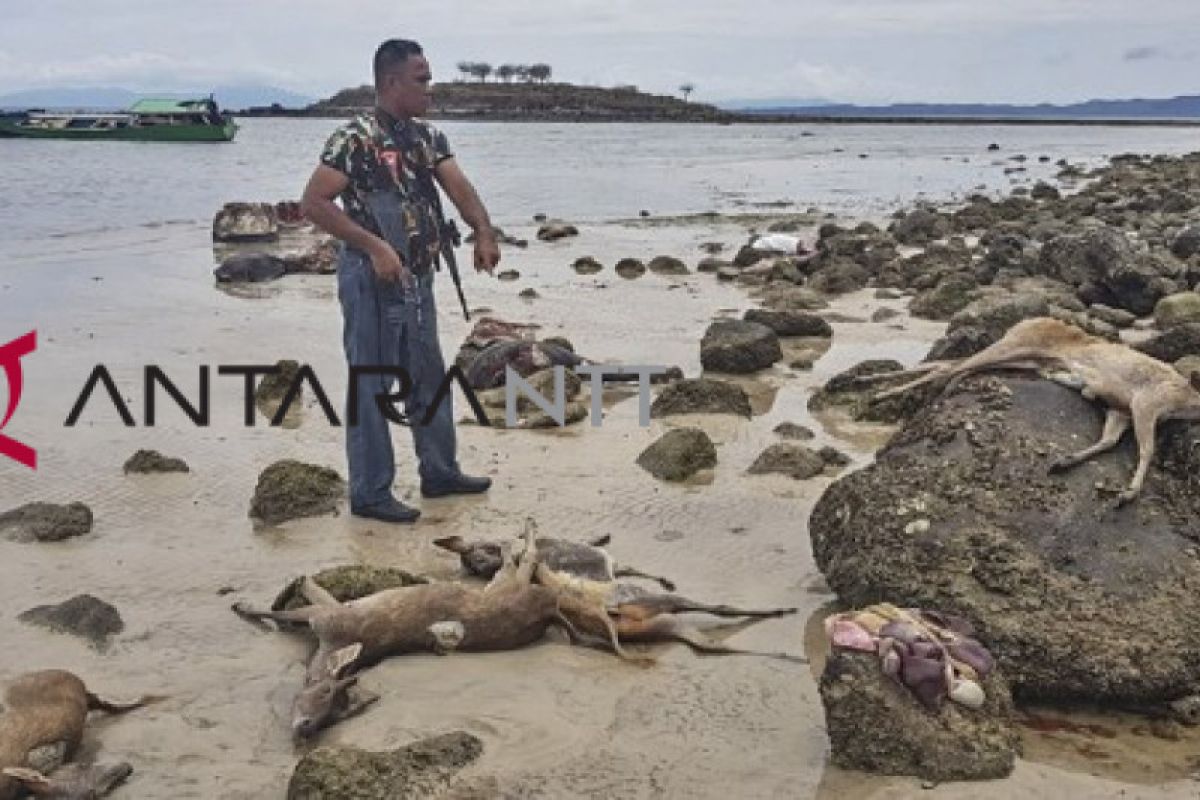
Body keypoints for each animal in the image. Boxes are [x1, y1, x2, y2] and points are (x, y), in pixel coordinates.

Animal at [232, 525, 576, 738]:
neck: (326, 647)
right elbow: (289, 603)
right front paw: (251, 602)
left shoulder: (328, 616)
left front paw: (244, 603)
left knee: (524, 561)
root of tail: (548, 610)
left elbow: (289, 605)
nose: (305, 727)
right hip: (504, 589)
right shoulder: (327, 615)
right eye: (327, 693)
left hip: (505, 588)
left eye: (335, 713)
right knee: (521, 563)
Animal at [436, 522, 801, 662]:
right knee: (722, 608)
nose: (484, 567)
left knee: (712, 646)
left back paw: (788, 654)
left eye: (477, 558)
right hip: (665, 606)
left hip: (668, 625)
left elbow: (630, 563)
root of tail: (609, 615)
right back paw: (779, 613)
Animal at [868, 316, 1200, 503]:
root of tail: (1029, 319)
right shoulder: (1145, 401)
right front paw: (1128, 494)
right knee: (950, 367)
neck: (1187, 399)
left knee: (953, 365)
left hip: (1024, 359)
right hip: (1015, 344)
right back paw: (877, 392)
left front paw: (1063, 462)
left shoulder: (1122, 408)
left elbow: (1109, 440)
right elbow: (1146, 449)